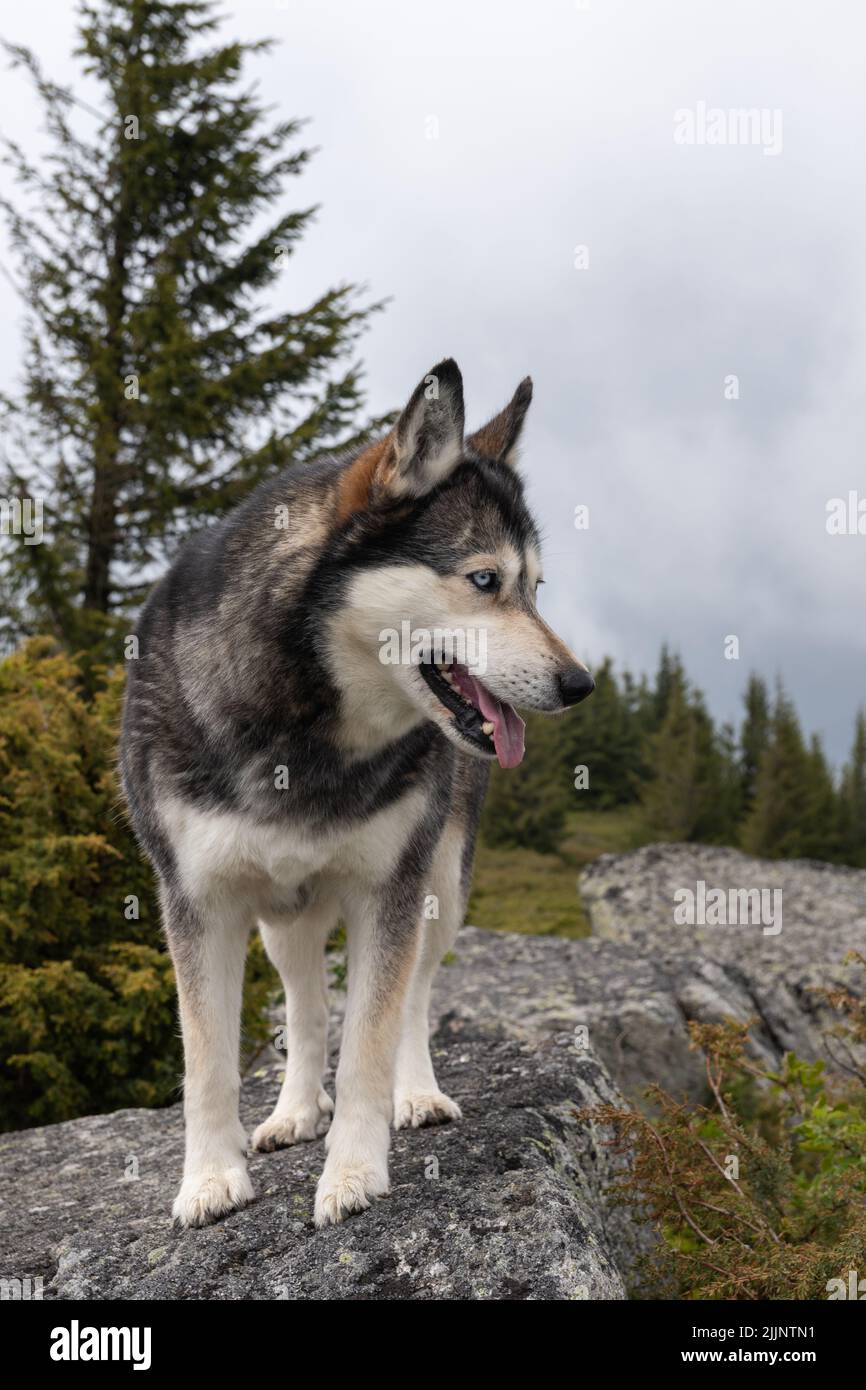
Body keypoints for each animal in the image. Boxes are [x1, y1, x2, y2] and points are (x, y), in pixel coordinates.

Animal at [120, 361, 594, 1228]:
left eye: (537, 588)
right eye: (486, 580)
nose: (580, 685)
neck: (304, 726)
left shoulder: (390, 889)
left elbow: (371, 1040)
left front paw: (354, 1172)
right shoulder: (198, 900)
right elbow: (208, 1062)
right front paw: (209, 1178)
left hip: (441, 885)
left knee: (411, 998)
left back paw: (417, 1094)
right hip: (283, 916)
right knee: (306, 1006)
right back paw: (296, 1109)